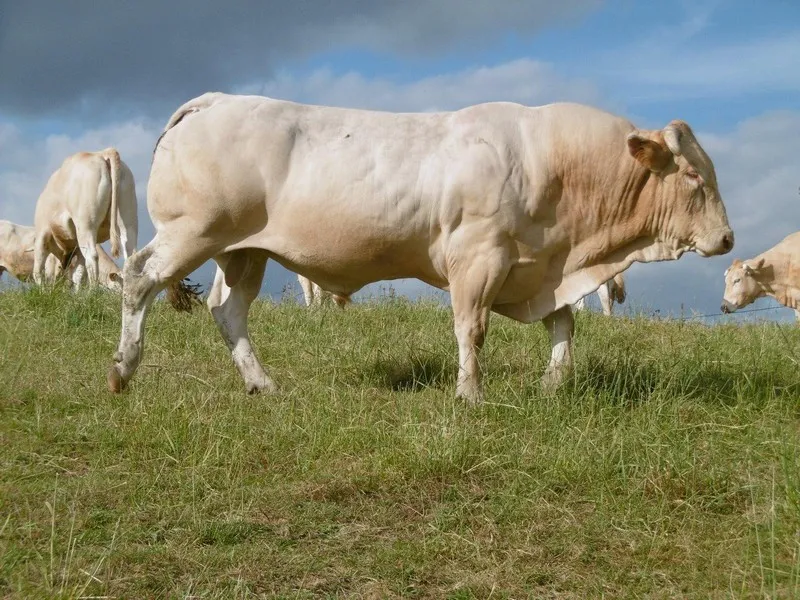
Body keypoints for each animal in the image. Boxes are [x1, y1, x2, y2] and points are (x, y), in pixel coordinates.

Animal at [33, 150, 138, 290]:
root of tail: (102, 153)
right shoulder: (77, 246)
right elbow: (78, 273)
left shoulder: (42, 233)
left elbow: (38, 269)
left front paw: (42, 291)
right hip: (128, 221)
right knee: (132, 255)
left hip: (86, 224)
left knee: (92, 256)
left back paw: (92, 291)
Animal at [109, 92, 736, 404]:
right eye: (693, 177)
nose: (728, 238)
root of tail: (215, 100)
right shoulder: (479, 257)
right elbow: (471, 329)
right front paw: (470, 396)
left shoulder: (543, 266)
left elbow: (564, 324)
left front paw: (553, 384)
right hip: (193, 230)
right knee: (138, 278)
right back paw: (123, 370)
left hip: (243, 250)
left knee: (228, 310)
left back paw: (261, 383)